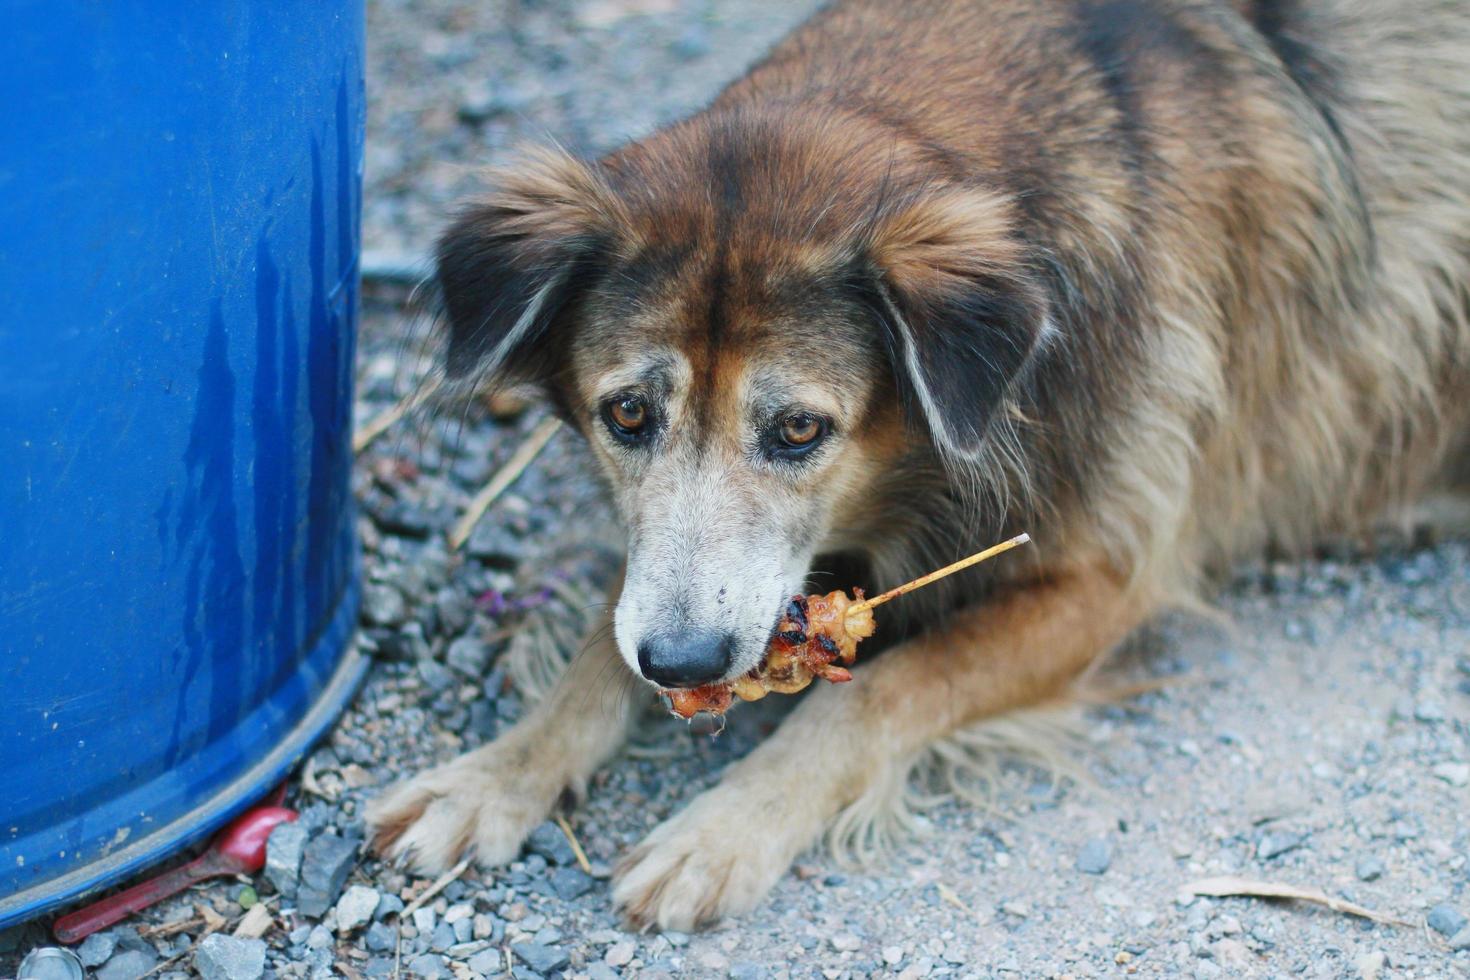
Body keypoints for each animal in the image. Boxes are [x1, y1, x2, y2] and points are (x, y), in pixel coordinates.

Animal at [364, 0, 1470, 934]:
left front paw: (725, 827)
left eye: (799, 430)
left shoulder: (1105, 581)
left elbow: (881, 688)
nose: (682, 665)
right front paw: (495, 774)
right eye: (627, 412)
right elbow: (606, 638)